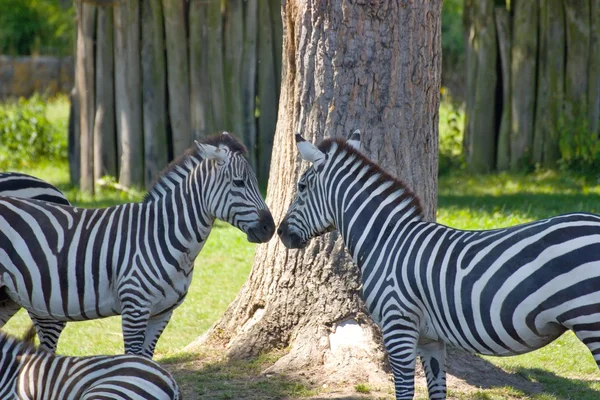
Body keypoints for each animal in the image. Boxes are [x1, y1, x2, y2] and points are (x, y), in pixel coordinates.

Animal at [0, 133, 276, 358]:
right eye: (239, 183)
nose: (270, 228)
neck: (163, 234)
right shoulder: (135, 307)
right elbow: (134, 361)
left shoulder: (162, 313)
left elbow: (148, 361)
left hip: (10, 297)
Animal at [278, 132, 600, 400]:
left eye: (301, 187)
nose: (280, 233)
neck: (386, 240)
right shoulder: (430, 339)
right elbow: (436, 390)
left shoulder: (398, 326)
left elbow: (404, 391)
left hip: (590, 320)